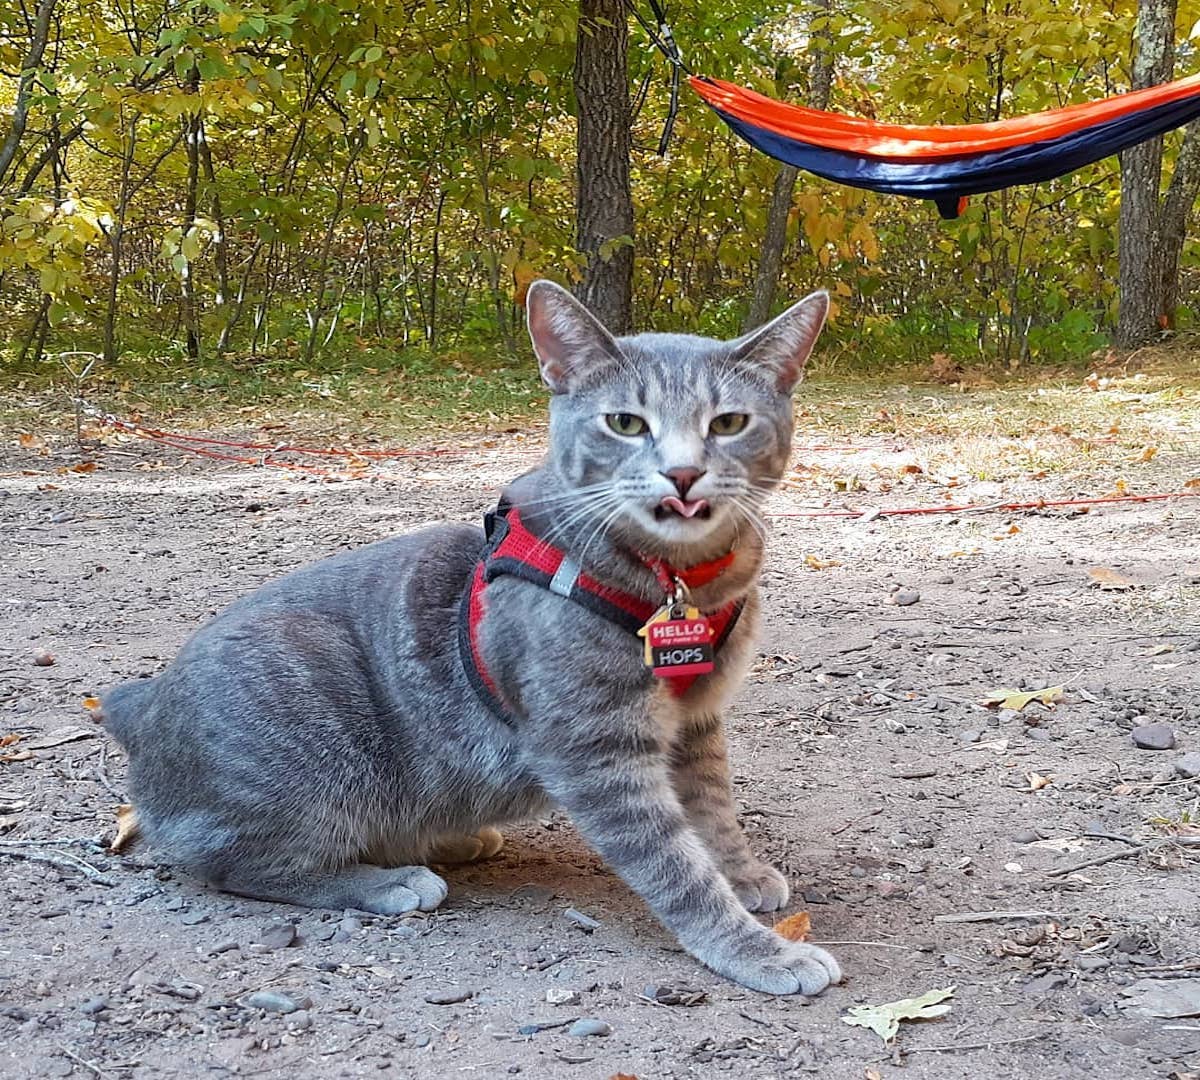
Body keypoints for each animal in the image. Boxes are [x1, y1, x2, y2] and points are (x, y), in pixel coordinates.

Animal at [105, 280, 844, 993]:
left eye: (729, 423)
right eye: (626, 423)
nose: (684, 473)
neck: (684, 584)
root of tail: (142, 704)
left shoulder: (696, 718)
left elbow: (713, 808)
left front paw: (742, 872)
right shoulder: (596, 752)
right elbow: (676, 866)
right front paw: (757, 949)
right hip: (313, 742)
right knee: (238, 862)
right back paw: (389, 880)